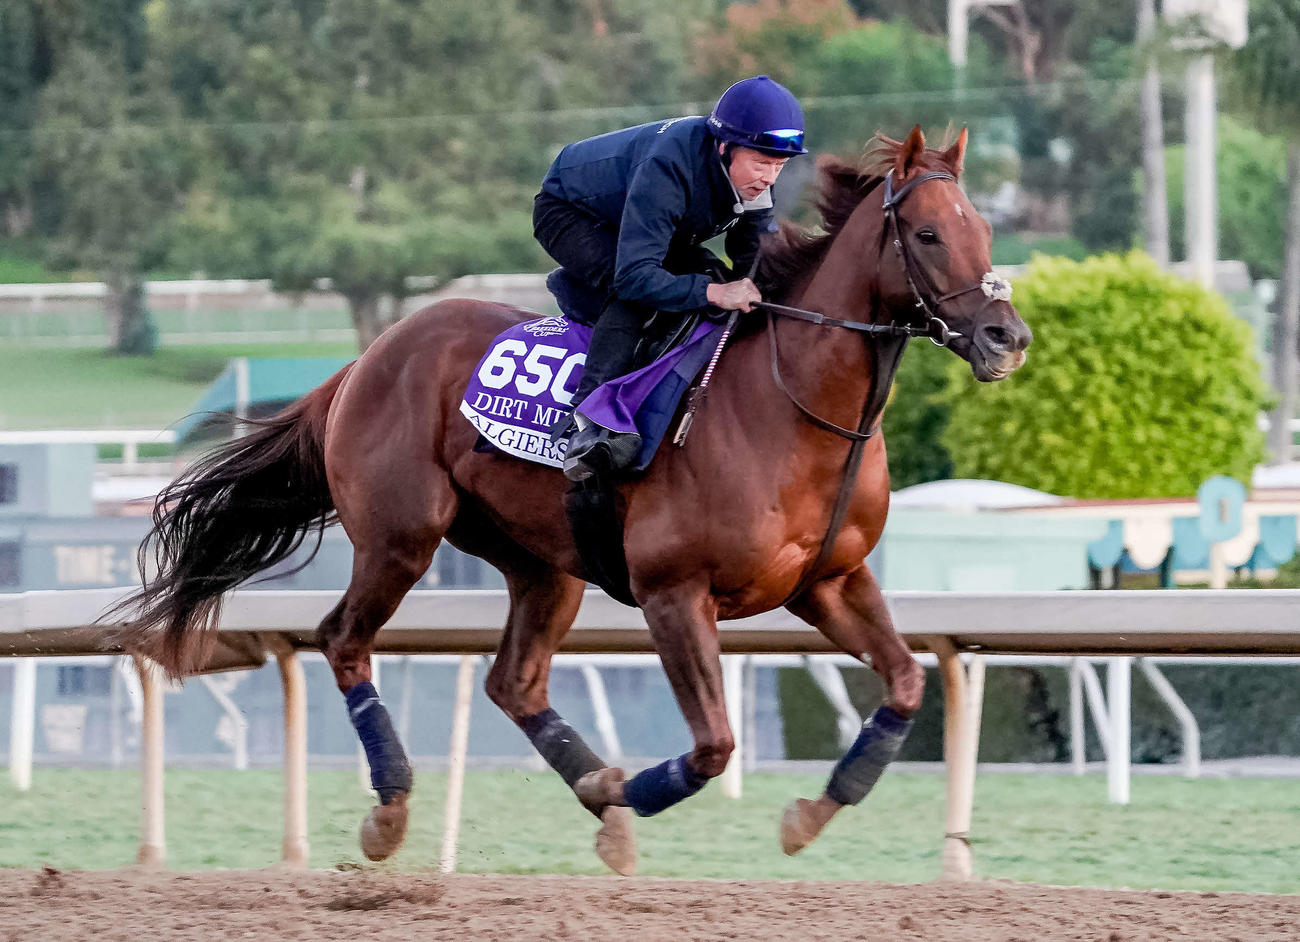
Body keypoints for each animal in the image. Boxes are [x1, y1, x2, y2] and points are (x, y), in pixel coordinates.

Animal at [109, 125, 1031, 874]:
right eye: (927, 233)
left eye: (985, 231)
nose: (1008, 338)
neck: (790, 405)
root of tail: (367, 357)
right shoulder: (672, 593)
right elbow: (714, 746)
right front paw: (639, 794)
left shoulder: (829, 583)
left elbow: (905, 683)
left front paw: (808, 811)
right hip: (402, 537)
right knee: (343, 640)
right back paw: (394, 809)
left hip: (543, 565)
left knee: (513, 683)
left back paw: (594, 796)